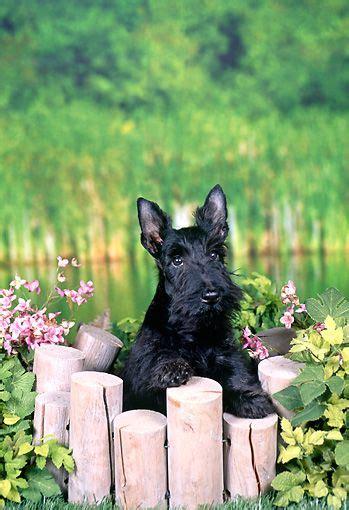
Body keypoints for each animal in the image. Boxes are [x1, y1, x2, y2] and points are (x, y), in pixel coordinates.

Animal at [123, 184, 274, 418]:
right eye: (177, 260)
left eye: (214, 254)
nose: (211, 296)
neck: (193, 328)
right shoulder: (145, 368)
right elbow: (158, 357)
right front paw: (172, 368)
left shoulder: (225, 355)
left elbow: (235, 375)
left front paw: (250, 397)